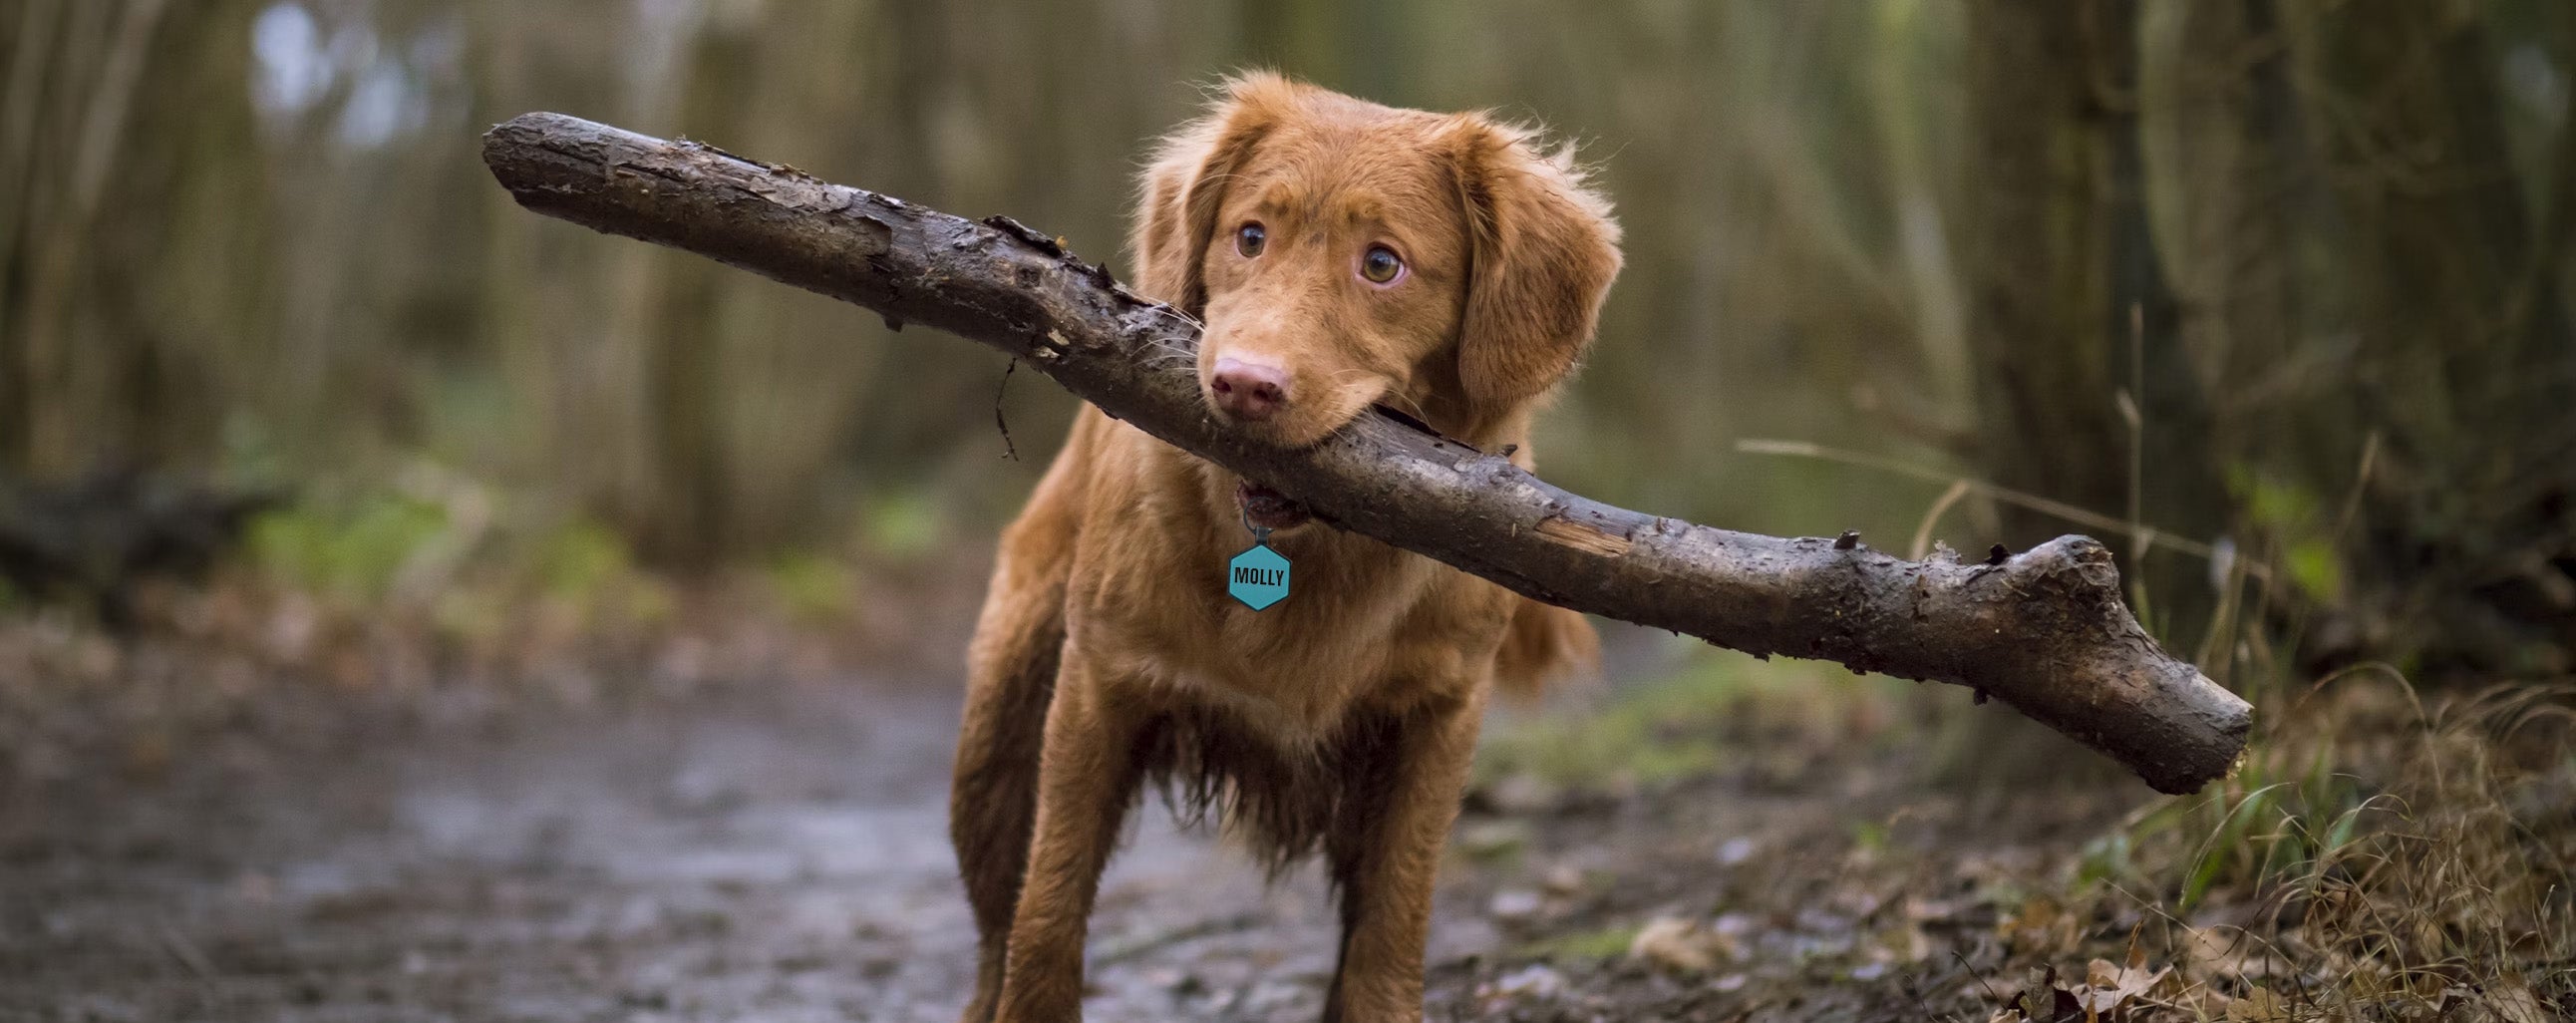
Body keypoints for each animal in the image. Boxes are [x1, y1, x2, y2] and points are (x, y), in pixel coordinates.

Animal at [958, 73, 1617, 1020]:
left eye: (1381, 263)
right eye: (1250, 236)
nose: (1243, 385)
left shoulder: (1436, 718)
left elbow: (1390, 927)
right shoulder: (1098, 686)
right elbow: (1047, 911)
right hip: (999, 729)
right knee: (993, 927)